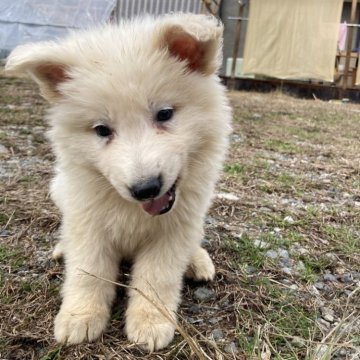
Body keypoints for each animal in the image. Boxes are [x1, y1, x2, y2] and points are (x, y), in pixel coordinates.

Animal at [5, 14, 232, 352]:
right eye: (102, 130)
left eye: (165, 114)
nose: (146, 189)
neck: (133, 210)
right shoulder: (89, 223)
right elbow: (88, 272)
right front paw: (80, 316)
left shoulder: (172, 232)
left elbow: (156, 278)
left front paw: (150, 323)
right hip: (59, 190)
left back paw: (197, 260)